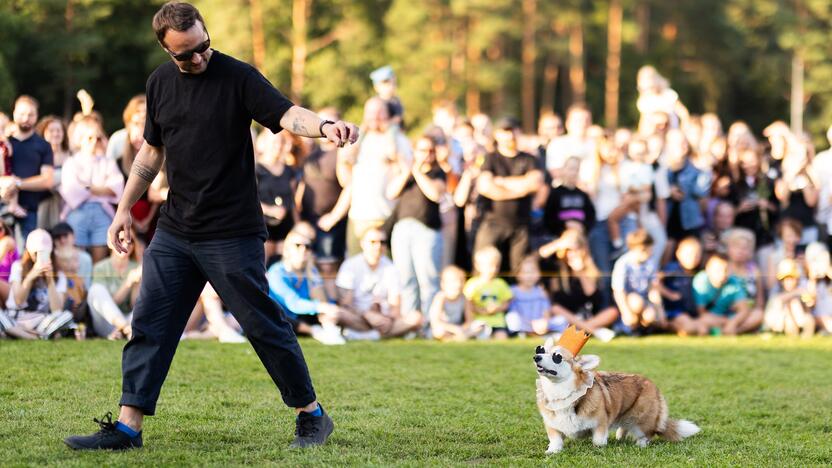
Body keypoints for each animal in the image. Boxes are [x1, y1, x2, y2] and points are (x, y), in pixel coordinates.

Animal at [532, 330, 696, 454]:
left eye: (557, 357)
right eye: (541, 350)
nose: (536, 356)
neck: (559, 391)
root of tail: (654, 387)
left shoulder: (600, 423)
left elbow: (598, 440)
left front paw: (598, 448)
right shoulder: (552, 424)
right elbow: (556, 439)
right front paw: (552, 451)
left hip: (640, 420)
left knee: (647, 434)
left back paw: (640, 444)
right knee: (624, 428)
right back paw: (619, 438)